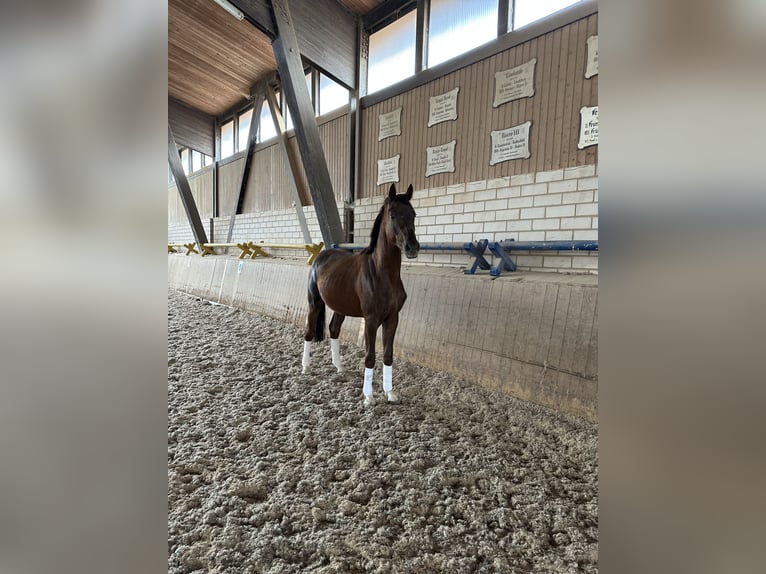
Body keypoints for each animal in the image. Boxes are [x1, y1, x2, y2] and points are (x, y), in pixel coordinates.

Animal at [302, 183, 420, 404]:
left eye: (413, 214)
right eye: (392, 215)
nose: (412, 248)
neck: (383, 274)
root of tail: (321, 256)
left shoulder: (392, 318)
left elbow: (388, 354)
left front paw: (390, 392)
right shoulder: (371, 320)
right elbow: (370, 356)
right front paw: (368, 397)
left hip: (340, 307)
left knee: (334, 330)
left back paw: (339, 367)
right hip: (314, 304)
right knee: (309, 332)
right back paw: (305, 368)